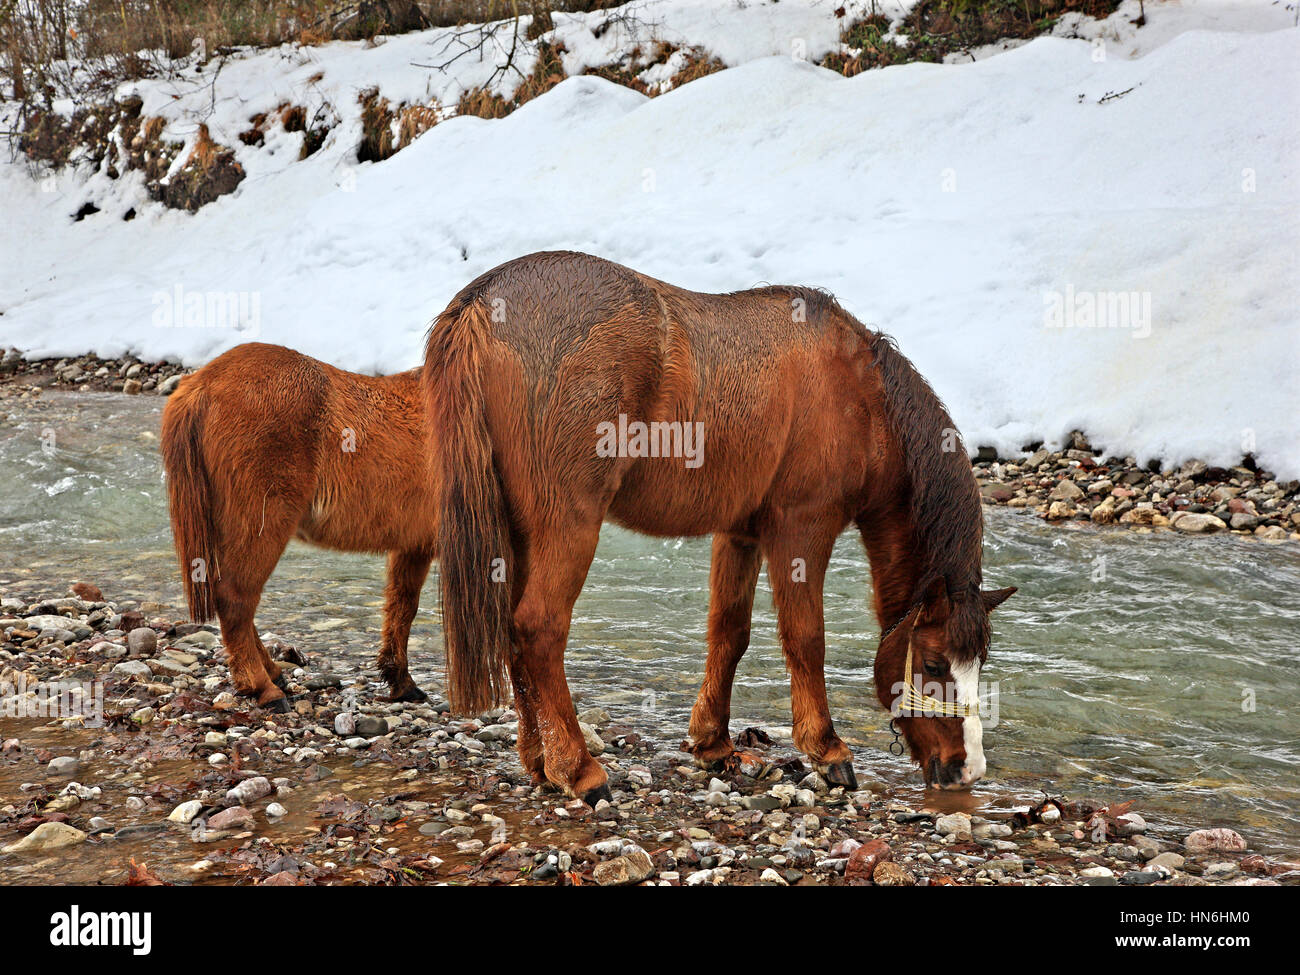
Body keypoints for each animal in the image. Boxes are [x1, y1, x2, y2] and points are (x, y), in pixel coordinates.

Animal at [160, 343, 436, 712]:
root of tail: (200, 384)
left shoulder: (415, 543)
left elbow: (402, 605)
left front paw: (400, 680)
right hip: (262, 524)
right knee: (235, 598)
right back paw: (263, 686)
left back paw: (271, 671)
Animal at [426, 249, 1013, 800]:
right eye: (933, 665)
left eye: (977, 663)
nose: (966, 769)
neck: (861, 395)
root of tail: (482, 303)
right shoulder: (802, 528)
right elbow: (805, 637)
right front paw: (826, 748)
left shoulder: (740, 533)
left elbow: (728, 633)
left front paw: (713, 742)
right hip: (569, 525)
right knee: (538, 629)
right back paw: (578, 768)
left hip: (521, 533)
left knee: (511, 634)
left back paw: (539, 762)